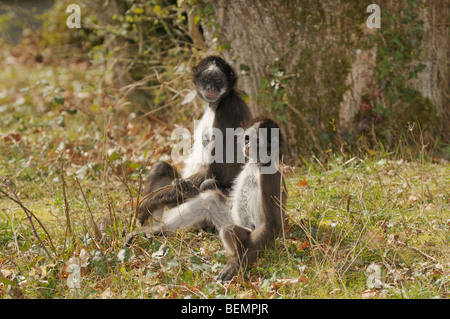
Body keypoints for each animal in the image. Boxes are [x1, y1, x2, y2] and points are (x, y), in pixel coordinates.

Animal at [134, 56, 253, 238]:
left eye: (219, 80)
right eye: (207, 79)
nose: (211, 87)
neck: (217, 104)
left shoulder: (229, 109)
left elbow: (219, 173)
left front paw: (146, 203)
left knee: (208, 184)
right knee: (160, 167)